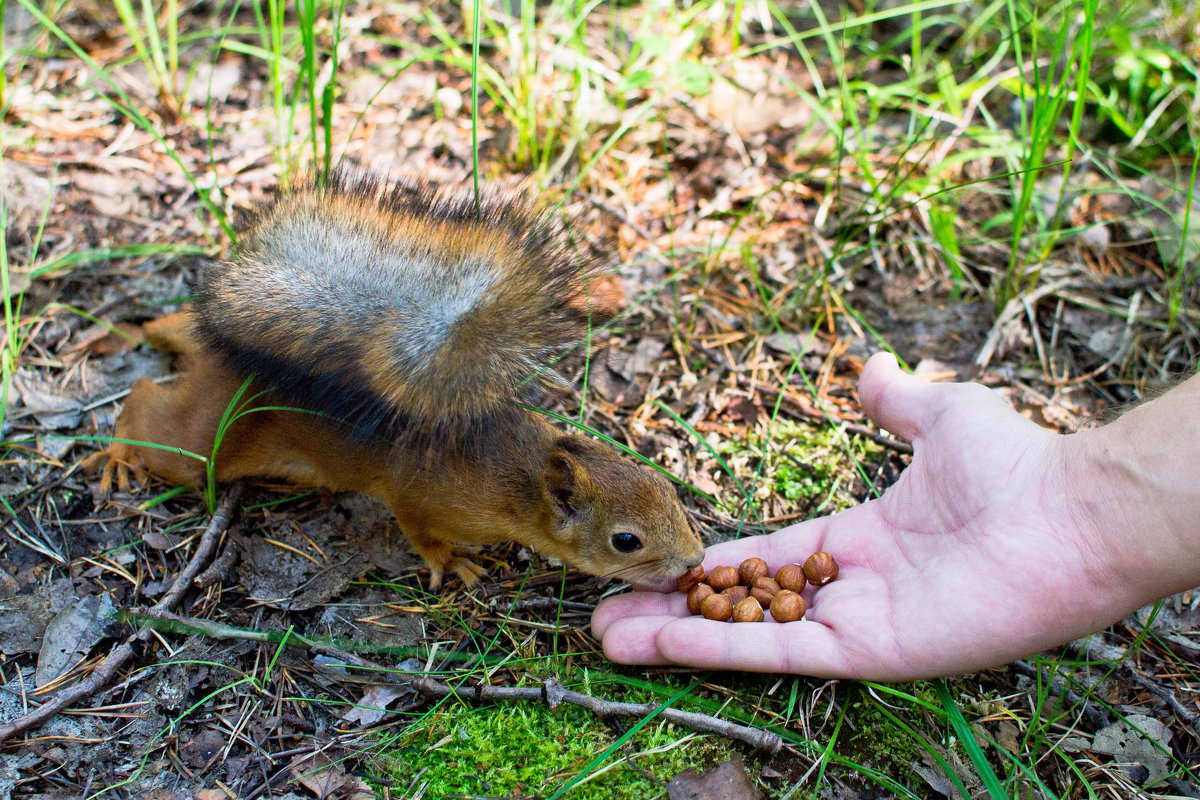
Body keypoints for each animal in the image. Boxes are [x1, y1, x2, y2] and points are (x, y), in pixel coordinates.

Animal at [87, 170, 700, 587]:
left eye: (667, 488)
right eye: (626, 541)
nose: (695, 561)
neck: (520, 479)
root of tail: (218, 349)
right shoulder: (419, 496)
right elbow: (419, 529)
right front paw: (451, 562)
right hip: (204, 444)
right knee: (149, 405)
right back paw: (117, 454)